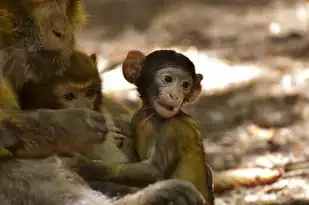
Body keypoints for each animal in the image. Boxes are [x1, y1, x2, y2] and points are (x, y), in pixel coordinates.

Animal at [74, 49, 213, 205]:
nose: (175, 96)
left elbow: (153, 170)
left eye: (185, 85)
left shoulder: (171, 130)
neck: (153, 116)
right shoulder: (137, 119)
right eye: (168, 79)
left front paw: (87, 166)